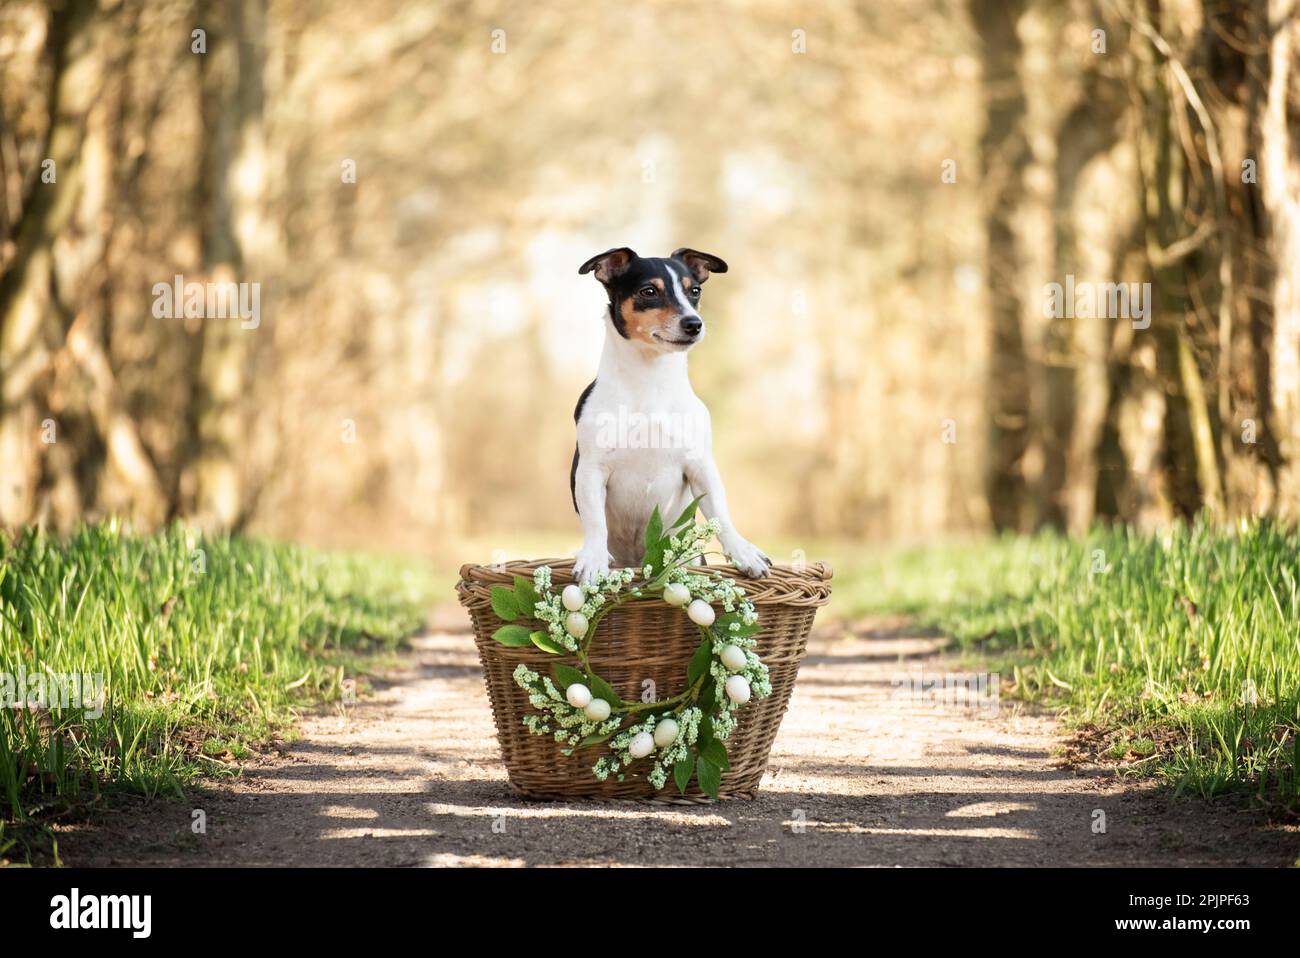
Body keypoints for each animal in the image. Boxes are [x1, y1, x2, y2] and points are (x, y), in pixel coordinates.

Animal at [572, 246, 769, 582]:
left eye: (695, 291)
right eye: (649, 292)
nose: (694, 323)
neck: (650, 380)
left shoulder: (701, 465)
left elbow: (721, 514)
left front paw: (743, 551)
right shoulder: (590, 470)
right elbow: (595, 521)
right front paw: (594, 560)